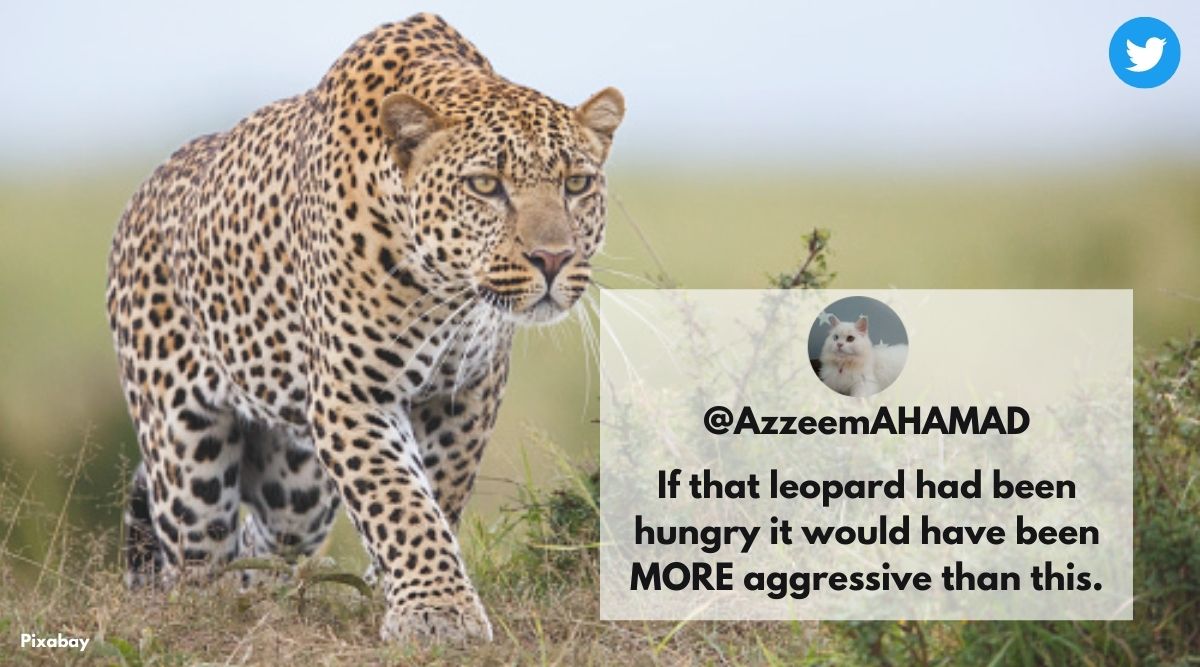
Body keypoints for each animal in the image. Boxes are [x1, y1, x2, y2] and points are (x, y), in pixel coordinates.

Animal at [105, 12, 623, 642]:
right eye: (485, 186)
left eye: (576, 184)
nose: (553, 259)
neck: (446, 290)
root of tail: (142, 194)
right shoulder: (353, 395)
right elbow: (399, 499)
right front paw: (437, 611)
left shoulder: (466, 393)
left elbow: (436, 493)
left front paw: (395, 593)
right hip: (186, 461)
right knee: (196, 561)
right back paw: (216, 613)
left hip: (296, 485)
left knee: (264, 542)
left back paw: (272, 600)